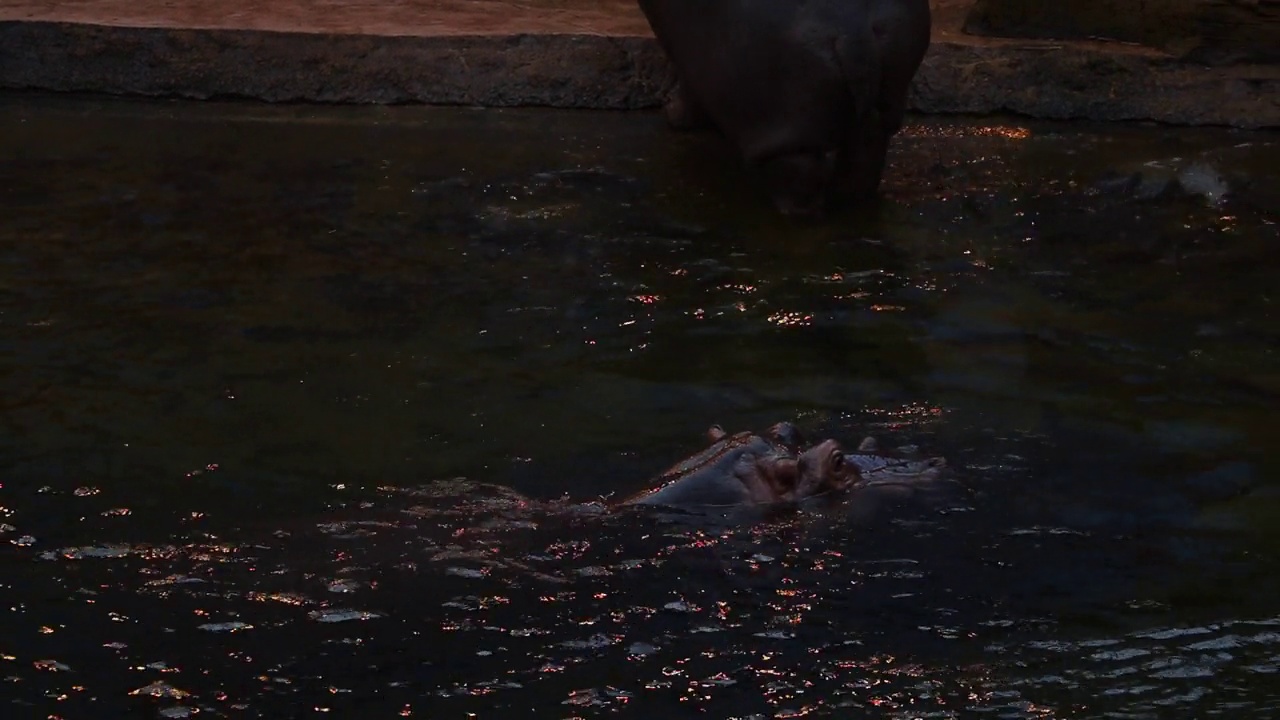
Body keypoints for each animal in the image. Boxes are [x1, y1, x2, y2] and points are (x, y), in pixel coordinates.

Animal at [637, 0, 931, 215]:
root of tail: (853, 30)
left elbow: (686, 82)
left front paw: (673, 115)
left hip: (782, 128)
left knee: (801, 175)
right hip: (884, 102)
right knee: (866, 153)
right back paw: (847, 201)